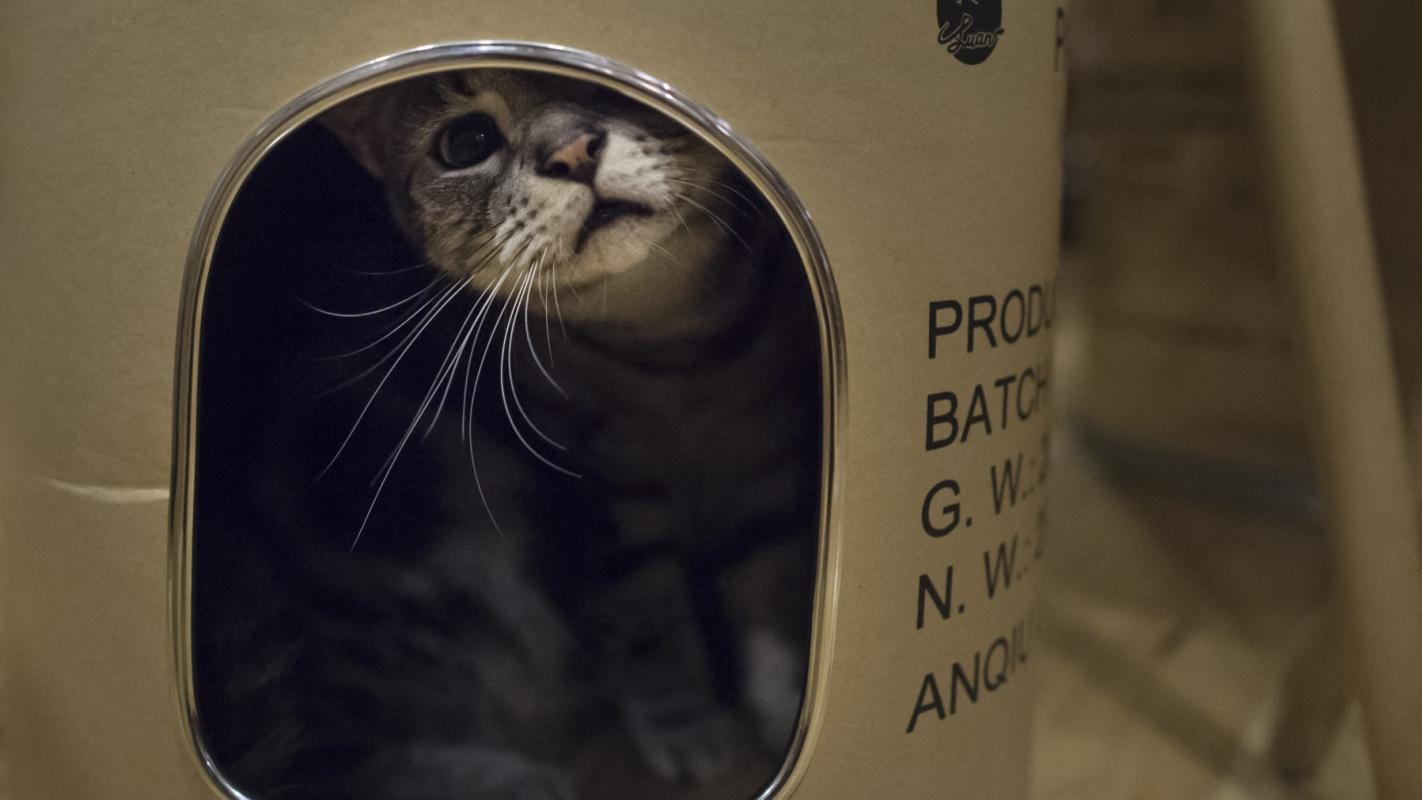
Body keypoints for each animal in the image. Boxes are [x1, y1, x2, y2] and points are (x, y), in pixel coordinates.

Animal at [193, 68, 821, 800]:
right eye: (467, 142)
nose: (573, 152)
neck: (674, 349)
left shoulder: (771, 448)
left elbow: (770, 579)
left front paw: (788, 706)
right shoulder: (595, 495)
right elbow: (646, 616)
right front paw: (689, 727)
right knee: (317, 759)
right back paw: (516, 781)